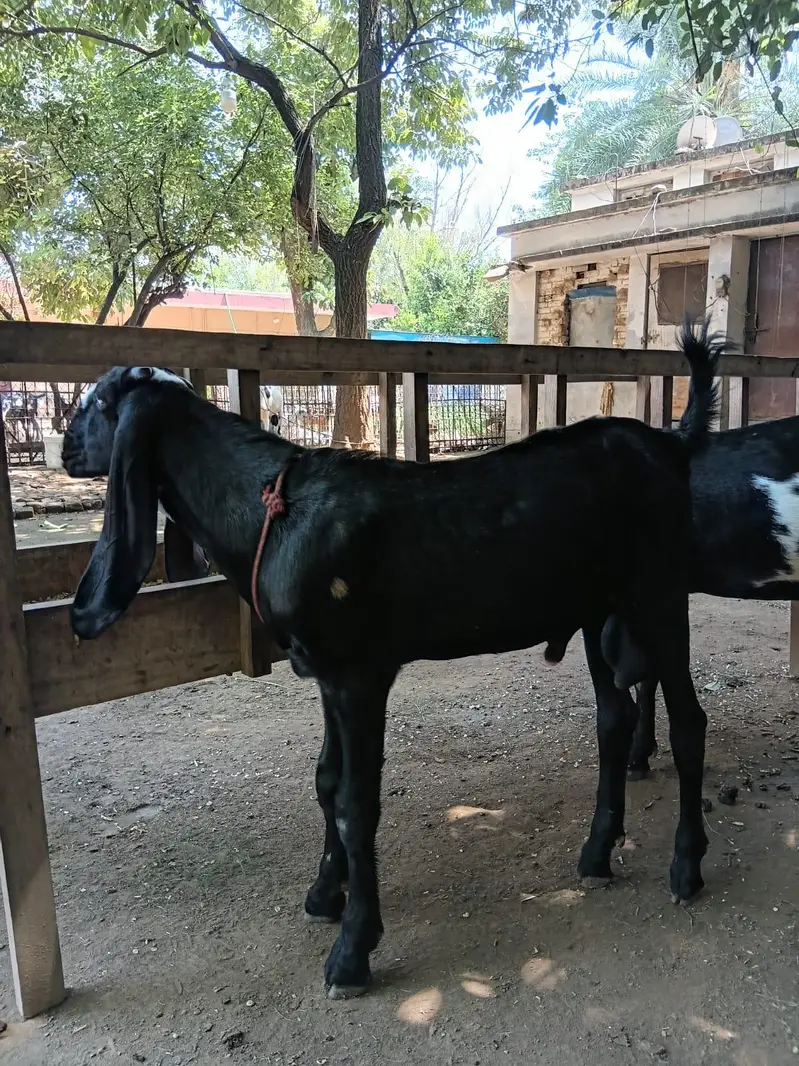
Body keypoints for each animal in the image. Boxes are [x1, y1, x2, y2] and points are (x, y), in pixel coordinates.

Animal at [61, 343, 715, 1000]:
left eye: (100, 400)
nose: (65, 448)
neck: (272, 509)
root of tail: (669, 444)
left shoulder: (360, 673)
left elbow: (357, 803)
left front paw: (353, 950)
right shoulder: (325, 672)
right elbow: (326, 780)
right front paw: (325, 894)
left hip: (658, 594)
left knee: (689, 721)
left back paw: (687, 867)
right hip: (598, 607)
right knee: (613, 720)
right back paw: (597, 855)